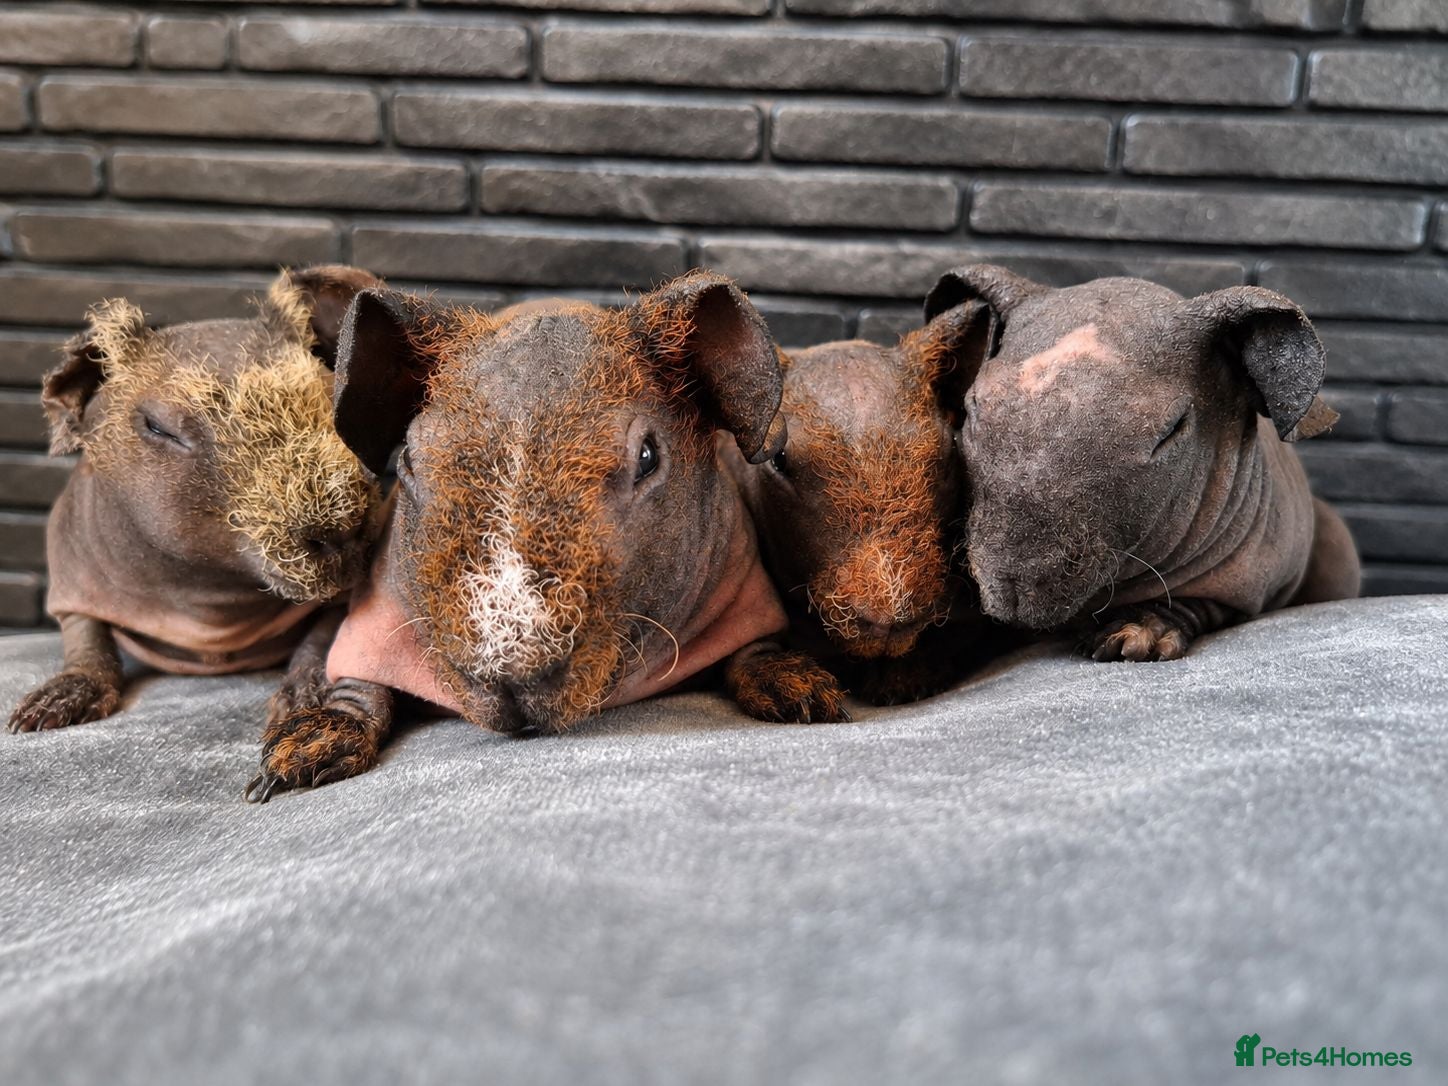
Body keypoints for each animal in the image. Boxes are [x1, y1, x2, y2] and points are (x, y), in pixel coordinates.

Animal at [7, 266, 386, 734]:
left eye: (327, 405)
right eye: (159, 428)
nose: (342, 532)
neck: (208, 607)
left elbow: (326, 632)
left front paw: (306, 693)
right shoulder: (70, 577)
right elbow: (85, 636)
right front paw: (60, 697)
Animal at [245, 271, 847, 800]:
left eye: (648, 457)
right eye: (410, 460)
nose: (513, 679)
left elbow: (757, 648)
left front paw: (804, 693)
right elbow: (357, 683)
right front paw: (299, 755)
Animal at [923, 264, 1361, 661]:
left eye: (1171, 430)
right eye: (971, 409)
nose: (1016, 583)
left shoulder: (1247, 580)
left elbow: (1196, 603)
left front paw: (1138, 631)